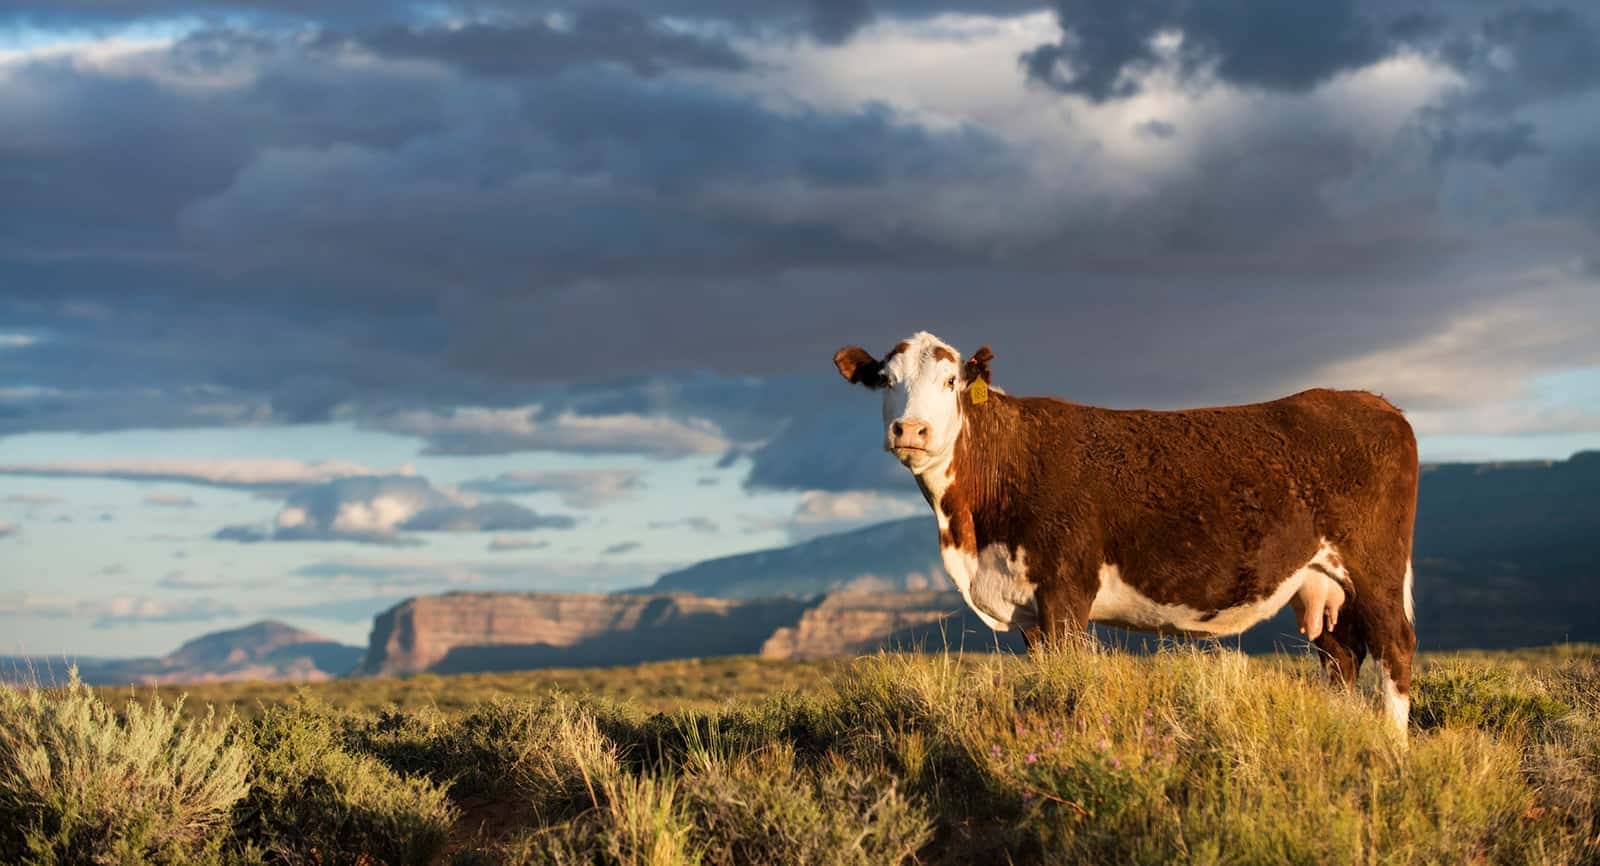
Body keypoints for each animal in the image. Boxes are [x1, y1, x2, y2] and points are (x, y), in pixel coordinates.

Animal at [832, 329, 1420, 729]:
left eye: (951, 380)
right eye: (885, 381)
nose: (911, 430)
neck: (972, 533)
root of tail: (1374, 402)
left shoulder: (1065, 589)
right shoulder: (1029, 608)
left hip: (1375, 568)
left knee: (1395, 644)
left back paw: (1392, 750)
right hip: (1325, 581)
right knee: (1340, 653)